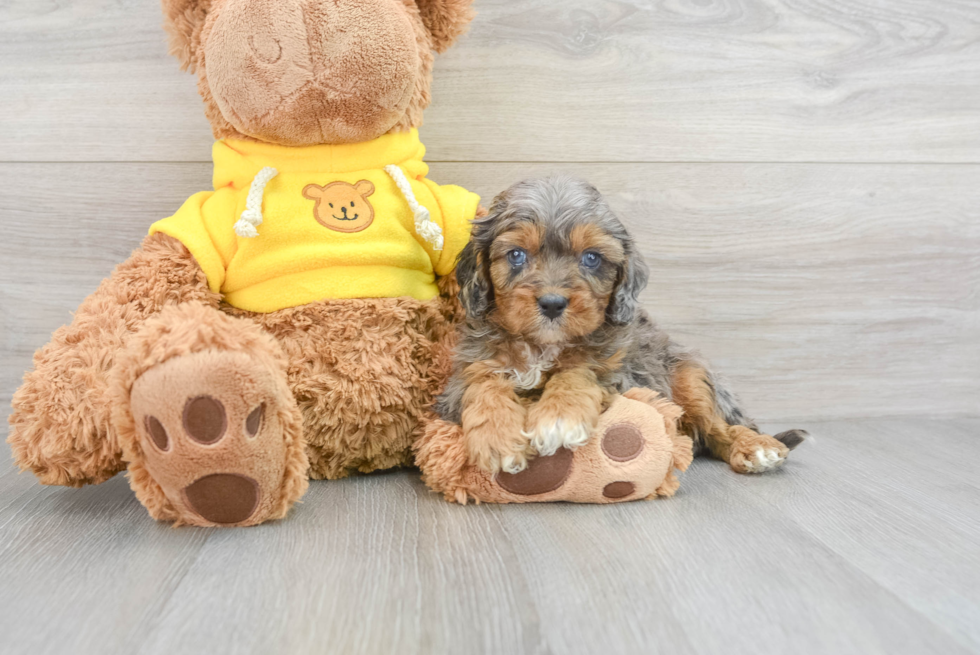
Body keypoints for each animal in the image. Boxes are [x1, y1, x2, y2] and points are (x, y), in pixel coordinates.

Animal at [436, 176, 804, 476]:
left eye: (591, 258)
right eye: (516, 255)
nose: (552, 303)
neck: (543, 346)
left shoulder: (620, 374)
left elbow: (579, 371)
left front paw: (560, 417)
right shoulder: (463, 375)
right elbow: (483, 384)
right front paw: (497, 438)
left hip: (689, 374)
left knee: (716, 427)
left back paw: (755, 447)